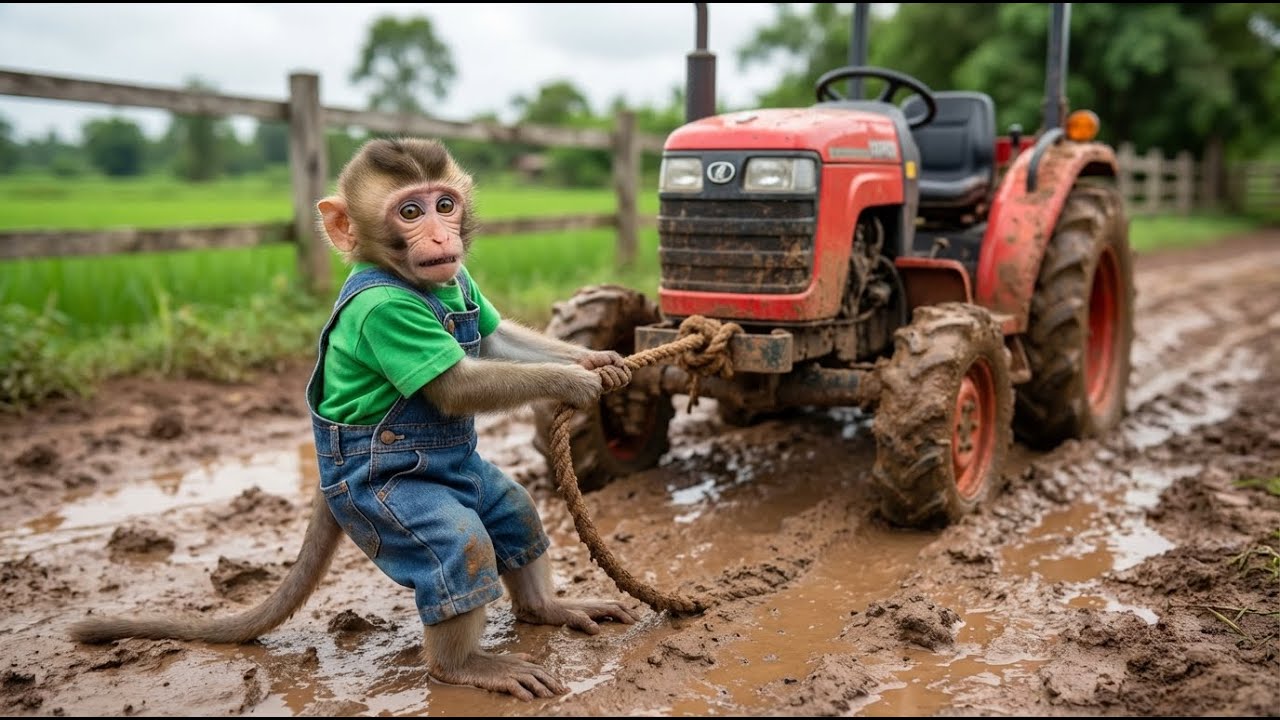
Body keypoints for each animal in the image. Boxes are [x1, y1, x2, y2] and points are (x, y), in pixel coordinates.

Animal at [69, 137, 640, 701]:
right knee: (460, 549)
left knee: (515, 513)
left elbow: (496, 339)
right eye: (410, 212)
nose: (439, 234)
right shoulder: (385, 316)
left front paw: (596, 359)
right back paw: (462, 665)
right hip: (379, 508)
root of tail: (331, 480)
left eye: (445, 205)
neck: (412, 282)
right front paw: (574, 382)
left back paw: (545, 606)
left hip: (468, 479)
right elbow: (455, 385)